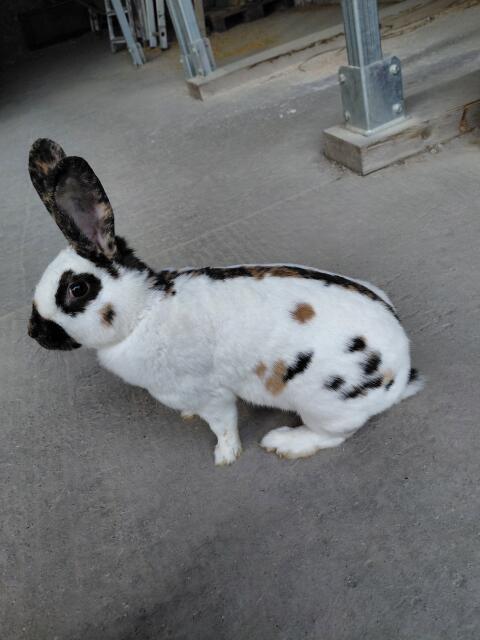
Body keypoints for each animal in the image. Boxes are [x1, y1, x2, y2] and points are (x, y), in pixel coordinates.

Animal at [27, 138, 424, 465]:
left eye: (78, 289)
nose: (34, 333)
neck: (143, 310)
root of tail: (401, 372)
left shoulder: (207, 394)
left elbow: (222, 424)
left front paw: (225, 456)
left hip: (323, 405)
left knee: (337, 434)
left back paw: (285, 443)